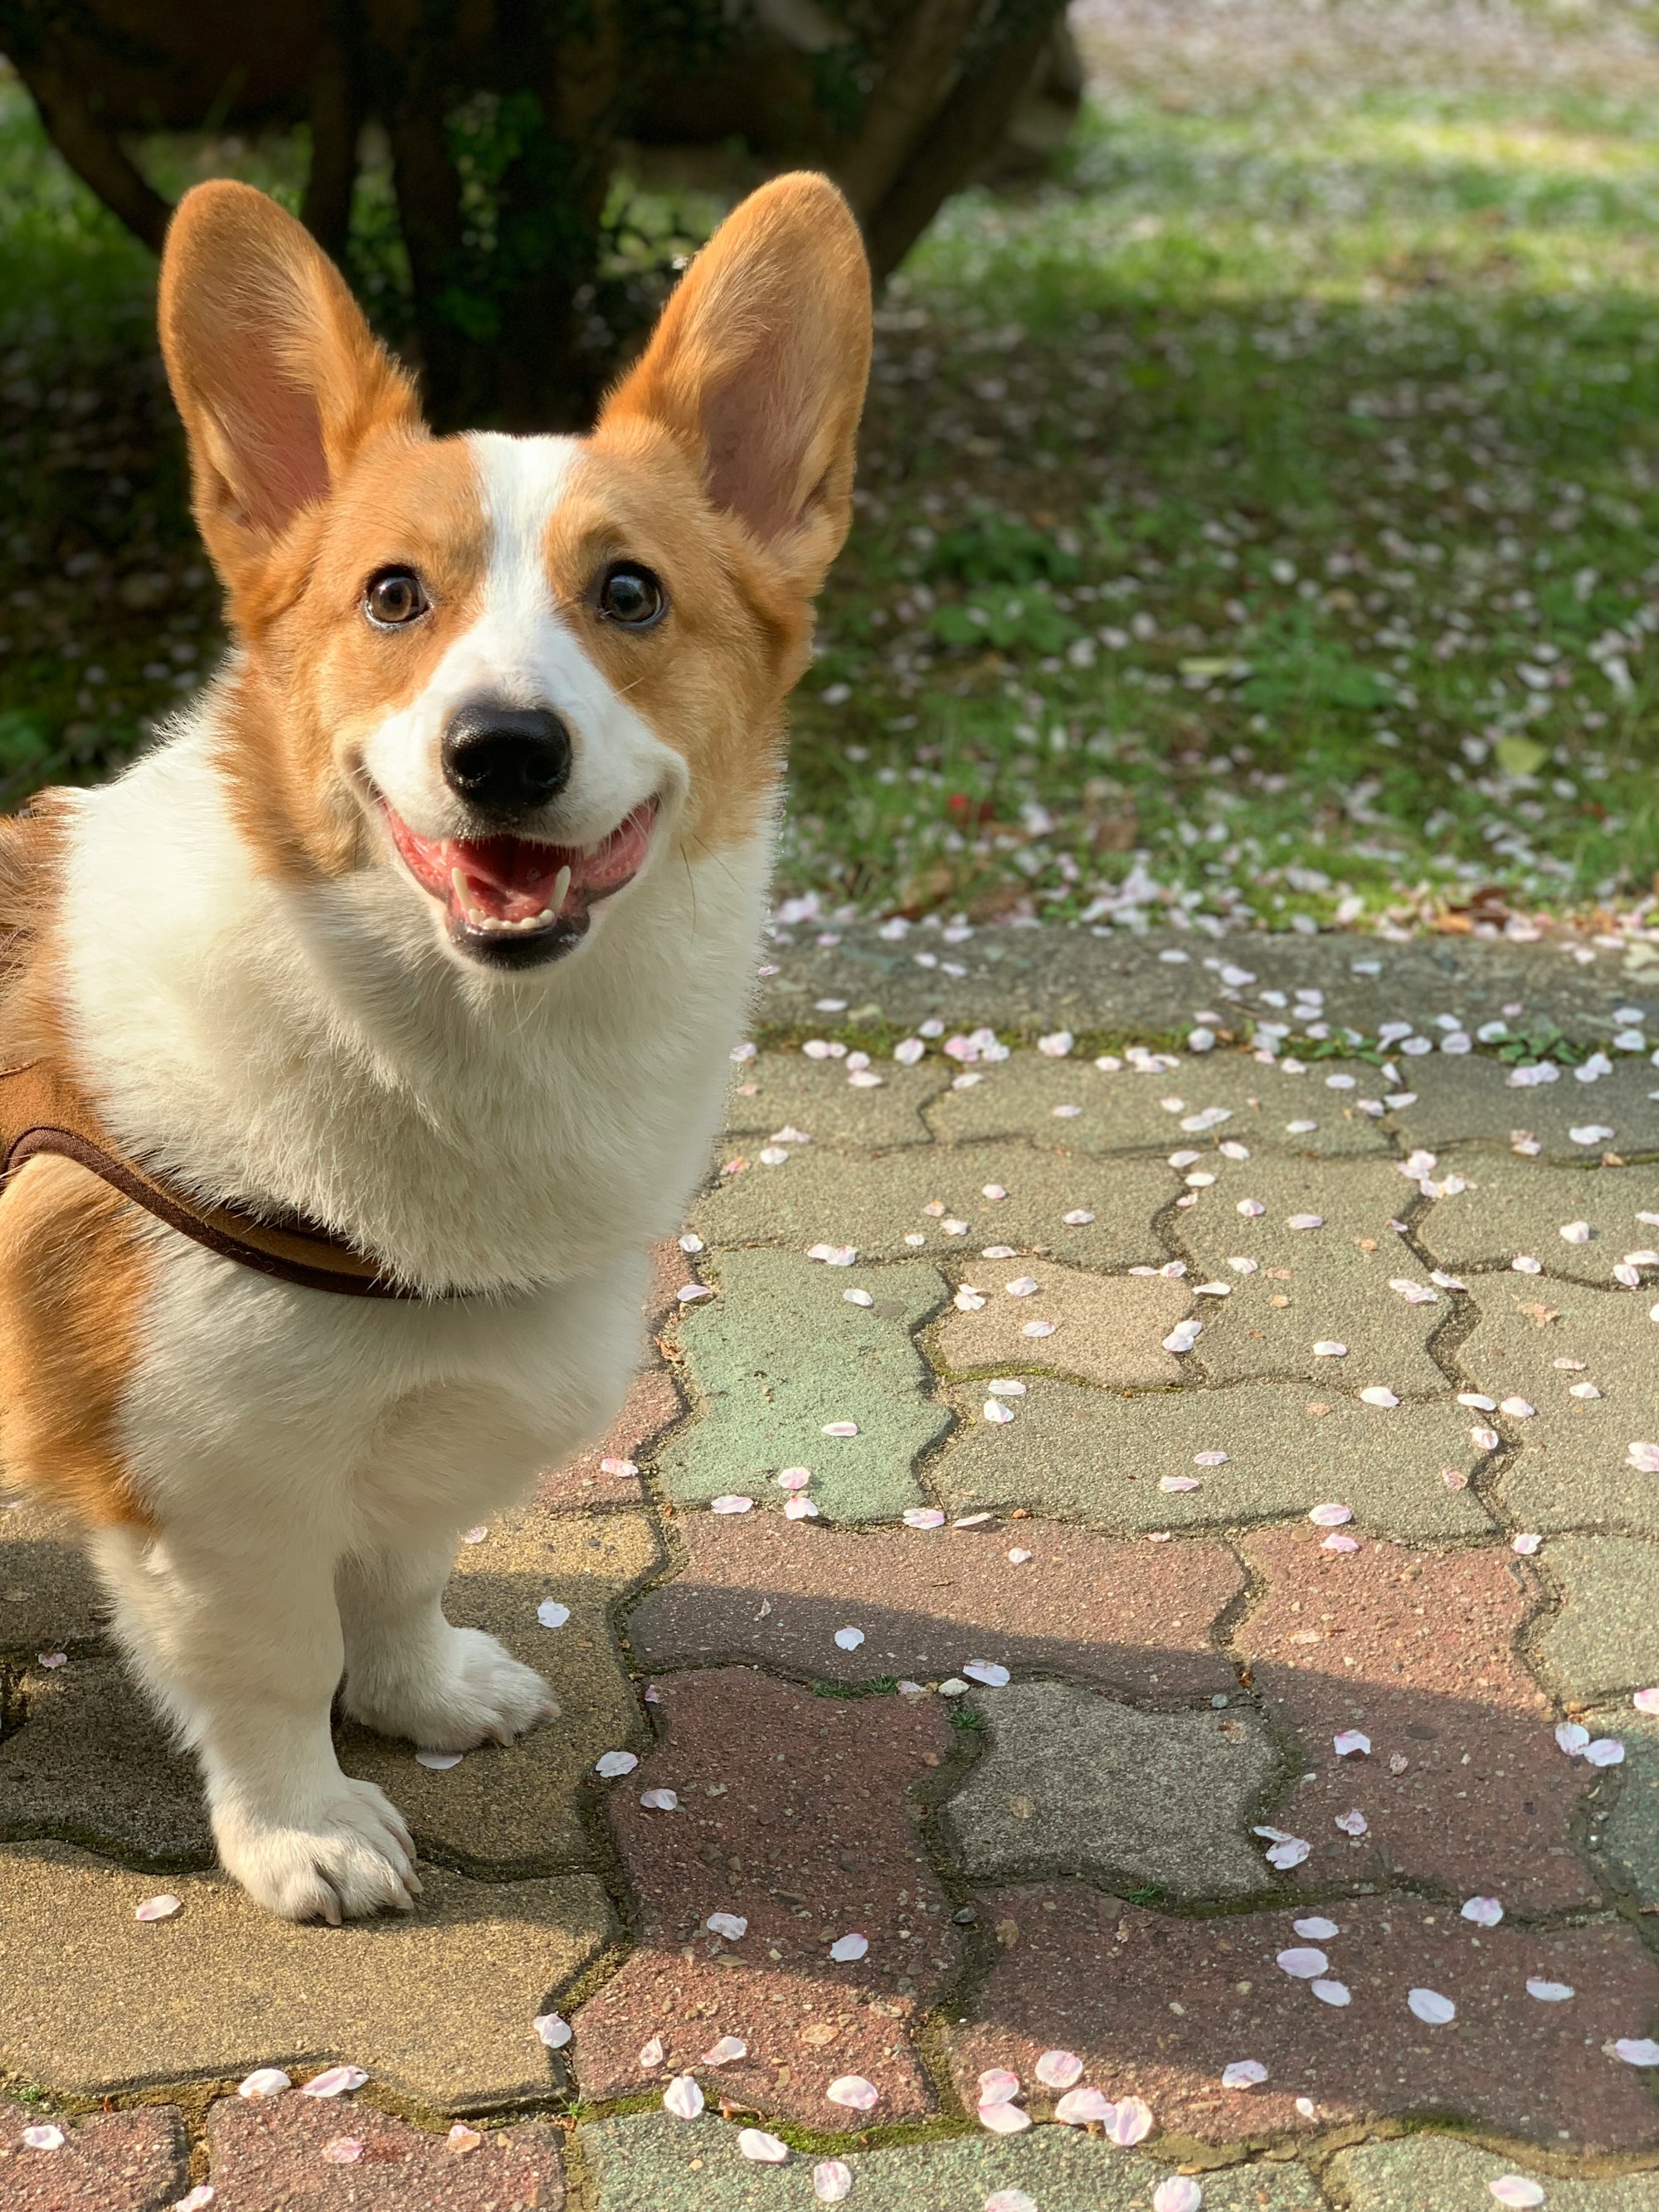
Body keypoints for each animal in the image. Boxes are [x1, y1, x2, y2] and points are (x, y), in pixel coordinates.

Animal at [0, 177, 876, 1919]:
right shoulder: (214, 1482)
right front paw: (307, 1829)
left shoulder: (412, 1433)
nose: (504, 752)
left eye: (631, 593)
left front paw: (420, 1695)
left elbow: (399, 1574)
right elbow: (274, 1665)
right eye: (394, 594)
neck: (453, 1035)